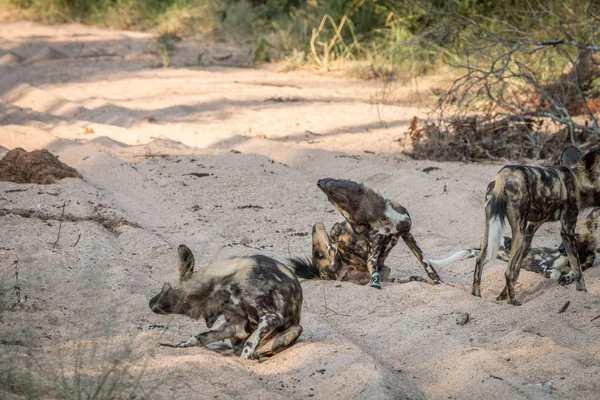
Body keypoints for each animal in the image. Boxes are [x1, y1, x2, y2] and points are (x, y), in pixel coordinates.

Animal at [149, 244, 308, 360]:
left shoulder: (271, 317)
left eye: (166, 287)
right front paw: (177, 346)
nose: (150, 303)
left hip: (295, 328)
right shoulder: (235, 326)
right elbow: (199, 337)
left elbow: (249, 345)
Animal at [314, 178, 446, 288]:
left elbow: (425, 262)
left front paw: (439, 282)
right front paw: (375, 284)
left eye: (331, 192)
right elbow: (374, 269)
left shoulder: (406, 234)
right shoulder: (373, 252)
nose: (320, 182)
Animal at [472, 145, 600, 304]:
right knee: (507, 271)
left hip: (491, 228)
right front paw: (583, 293)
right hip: (518, 233)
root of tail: (505, 173)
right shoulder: (567, 233)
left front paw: (502, 295)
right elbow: (578, 271)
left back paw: (476, 296)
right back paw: (513, 302)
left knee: (480, 261)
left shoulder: (531, 229)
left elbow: (518, 270)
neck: (576, 181)